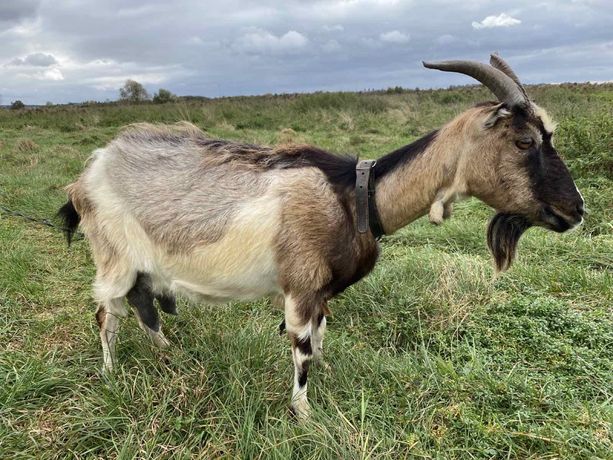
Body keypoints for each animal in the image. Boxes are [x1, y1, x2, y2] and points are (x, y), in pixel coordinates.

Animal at [58, 54, 584, 416]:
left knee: (143, 303)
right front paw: (304, 413)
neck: (356, 196)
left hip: (142, 263)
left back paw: (168, 354)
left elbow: (323, 338)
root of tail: (87, 174)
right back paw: (110, 373)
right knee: (107, 313)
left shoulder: (323, 292)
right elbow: (303, 348)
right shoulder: (302, 286)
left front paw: (326, 379)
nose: (575, 210)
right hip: (113, 256)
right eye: (524, 141)